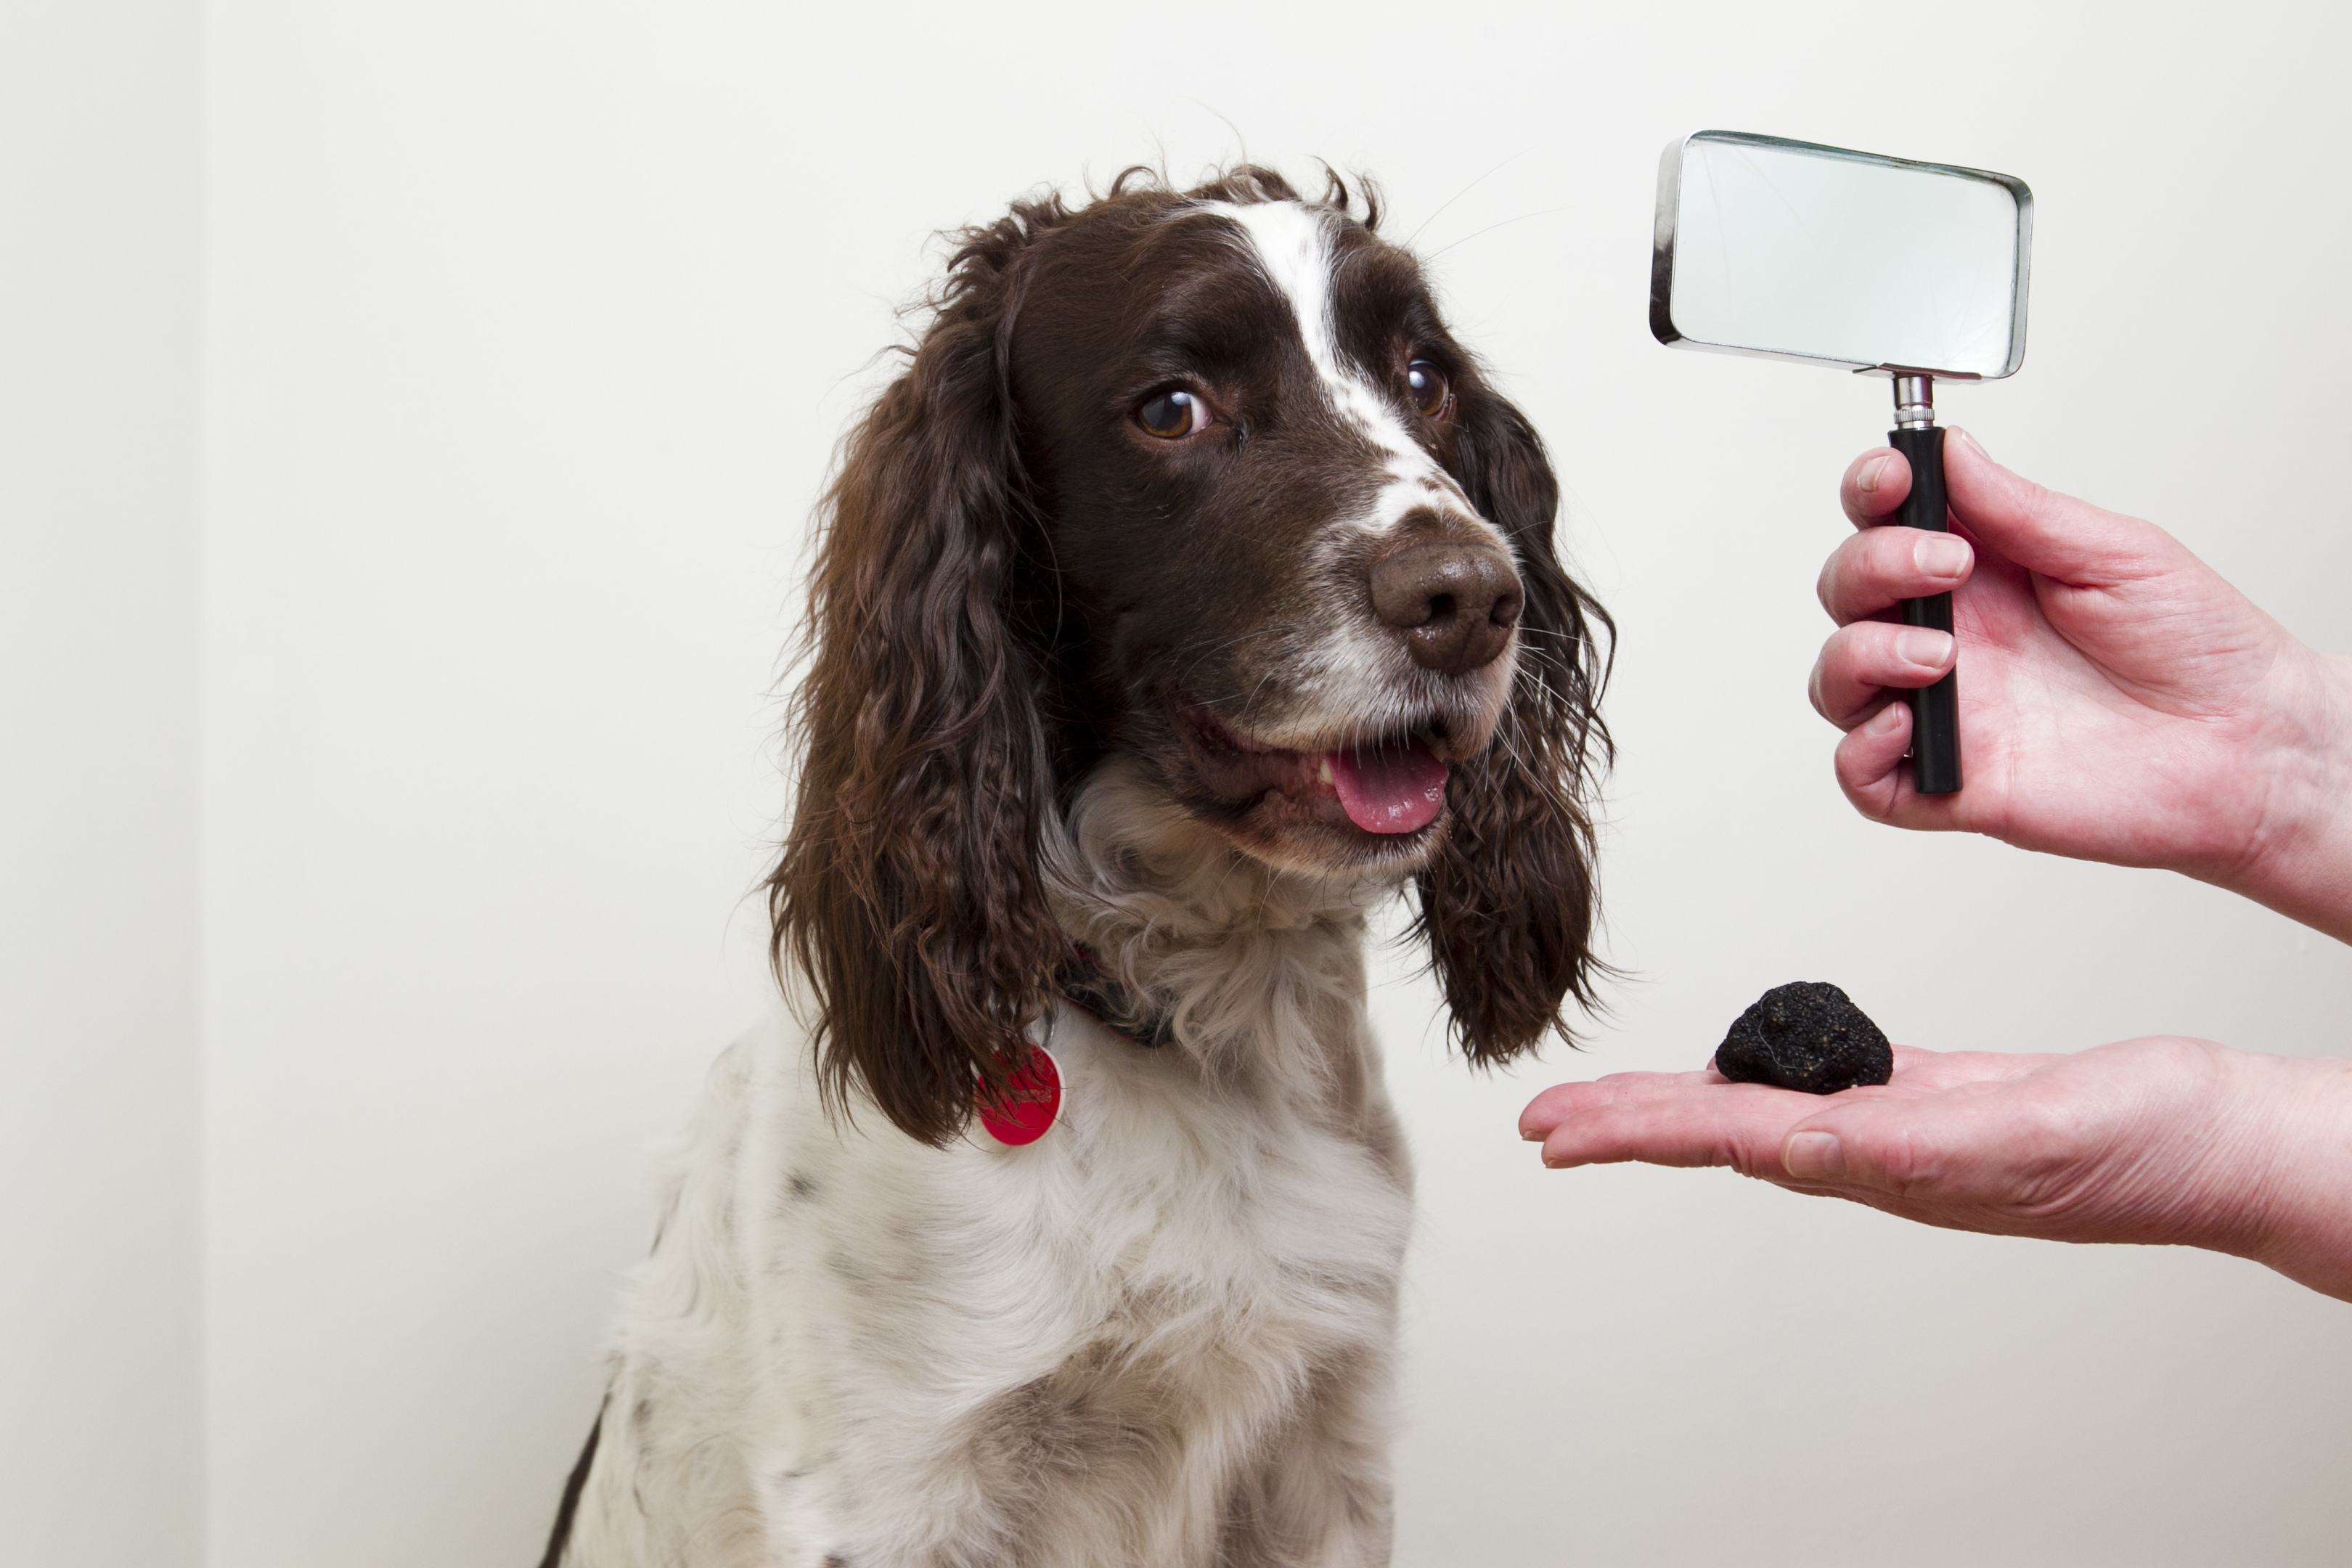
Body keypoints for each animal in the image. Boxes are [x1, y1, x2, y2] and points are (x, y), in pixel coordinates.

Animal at [541, 169, 1609, 1568]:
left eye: (1424, 378)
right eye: (1172, 408)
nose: (1475, 599)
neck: (1187, 1015)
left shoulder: (1323, 1452)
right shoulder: (885, 1486)